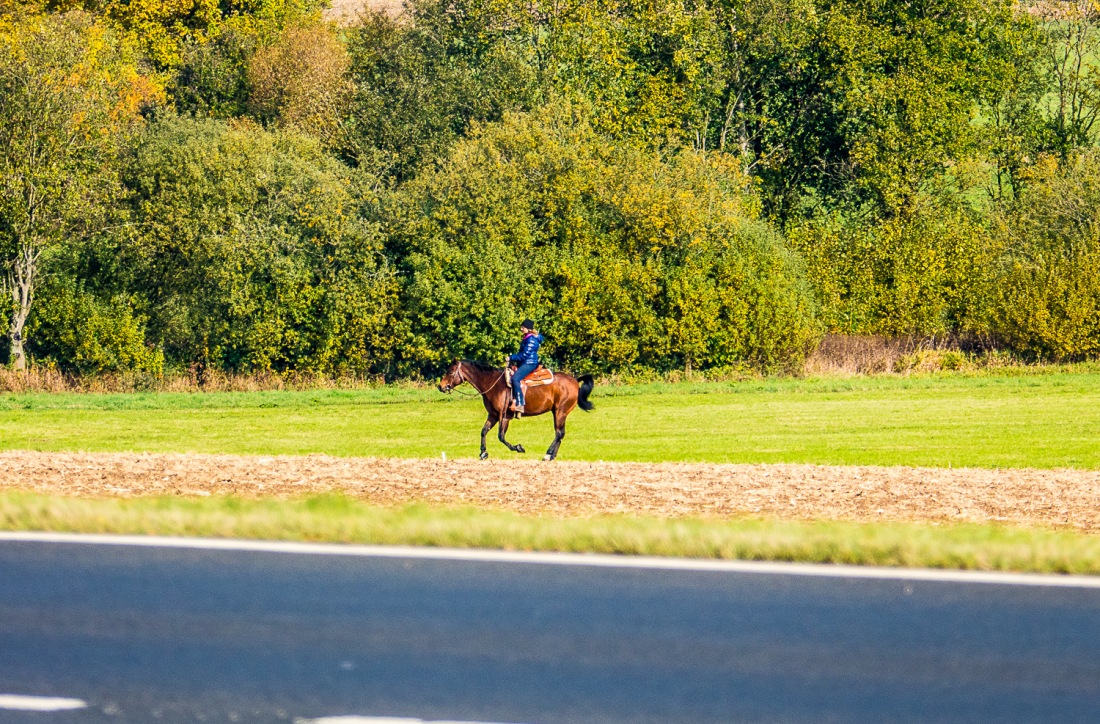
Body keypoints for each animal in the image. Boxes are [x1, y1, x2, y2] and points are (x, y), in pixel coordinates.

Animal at [435, 358, 594, 459]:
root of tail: (575, 381)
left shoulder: (504, 415)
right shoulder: (493, 415)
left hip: (561, 412)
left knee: (559, 433)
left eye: (450, 372)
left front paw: (518, 448)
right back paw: (552, 455)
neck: (493, 384)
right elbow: (484, 431)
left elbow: (501, 436)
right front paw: (483, 453)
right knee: (560, 433)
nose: (441, 386)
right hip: (557, 412)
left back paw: (548, 454)